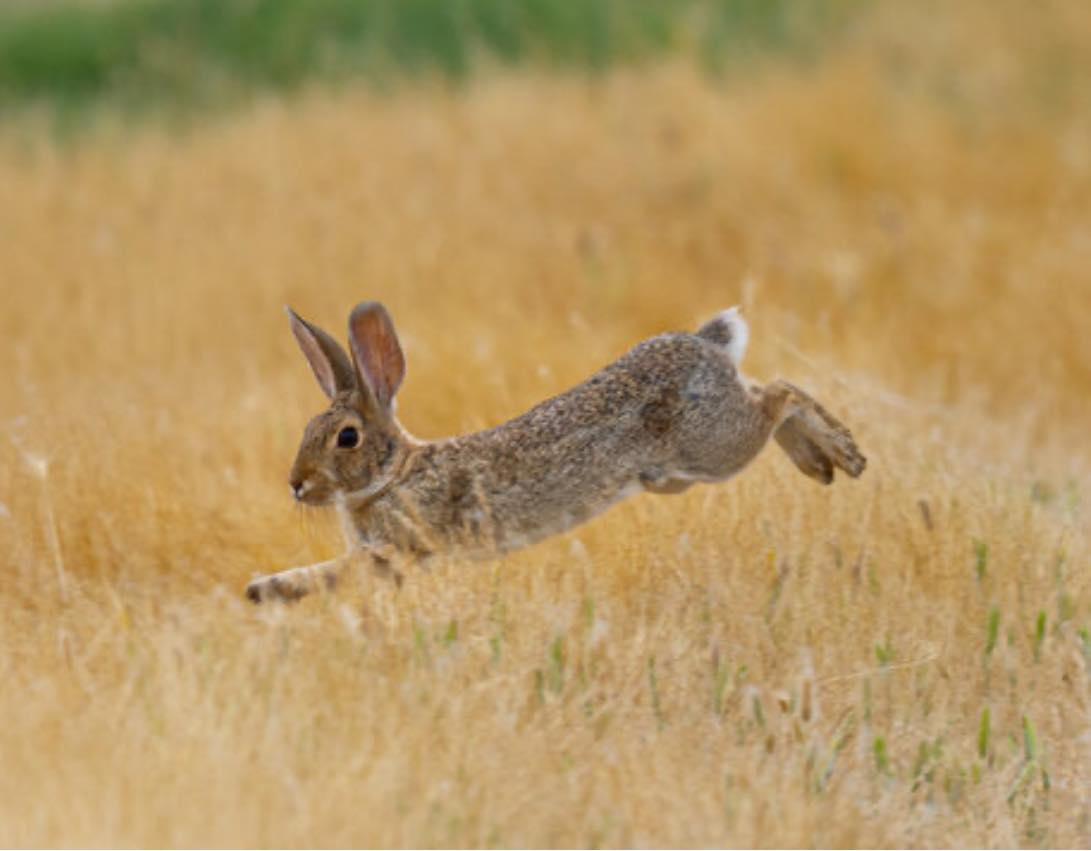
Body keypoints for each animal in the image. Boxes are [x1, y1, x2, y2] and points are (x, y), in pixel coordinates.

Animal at [246, 301, 865, 603]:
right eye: (309, 426)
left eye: (346, 437)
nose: (296, 483)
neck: (395, 473)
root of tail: (705, 345)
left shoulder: (397, 549)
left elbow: (338, 570)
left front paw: (268, 590)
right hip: (678, 472)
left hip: (714, 445)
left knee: (781, 393)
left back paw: (840, 455)